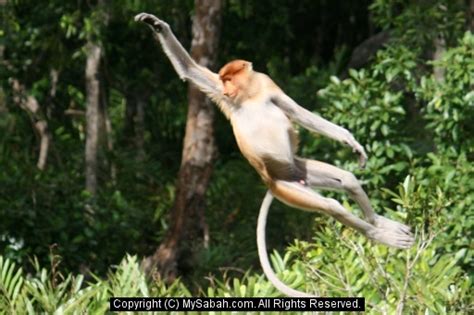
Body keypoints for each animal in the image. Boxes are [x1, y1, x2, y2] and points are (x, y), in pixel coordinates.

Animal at [135, 13, 412, 298]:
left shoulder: (266, 83)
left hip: (300, 169)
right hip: (287, 188)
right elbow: (190, 70)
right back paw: (381, 234)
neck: (248, 95)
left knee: (347, 179)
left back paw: (379, 223)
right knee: (331, 205)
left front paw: (351, 142)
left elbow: (297, 111)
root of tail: (277, 180)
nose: (226, 89)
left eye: (229, 79)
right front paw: (154, 23)